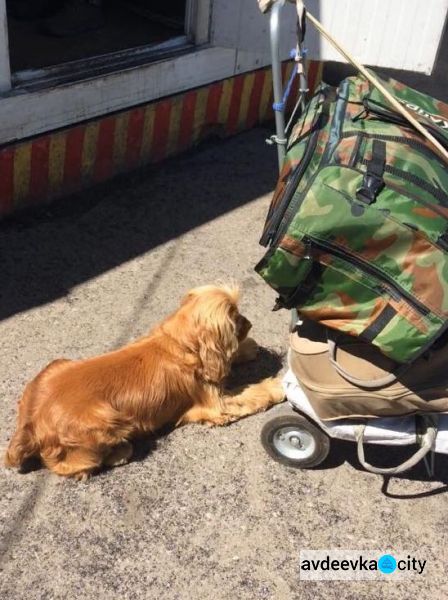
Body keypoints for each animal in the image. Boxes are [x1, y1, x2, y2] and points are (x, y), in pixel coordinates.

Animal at [4, 284, 284, 480]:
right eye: (235, 317)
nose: (249, 322)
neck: (179, 343)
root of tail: (31, 424)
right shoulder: (215, 405)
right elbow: (250, 394)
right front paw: (277, 385)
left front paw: (247, 349)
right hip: (105, 420)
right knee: (71, 465)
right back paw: (119, 453)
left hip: (56, 364)